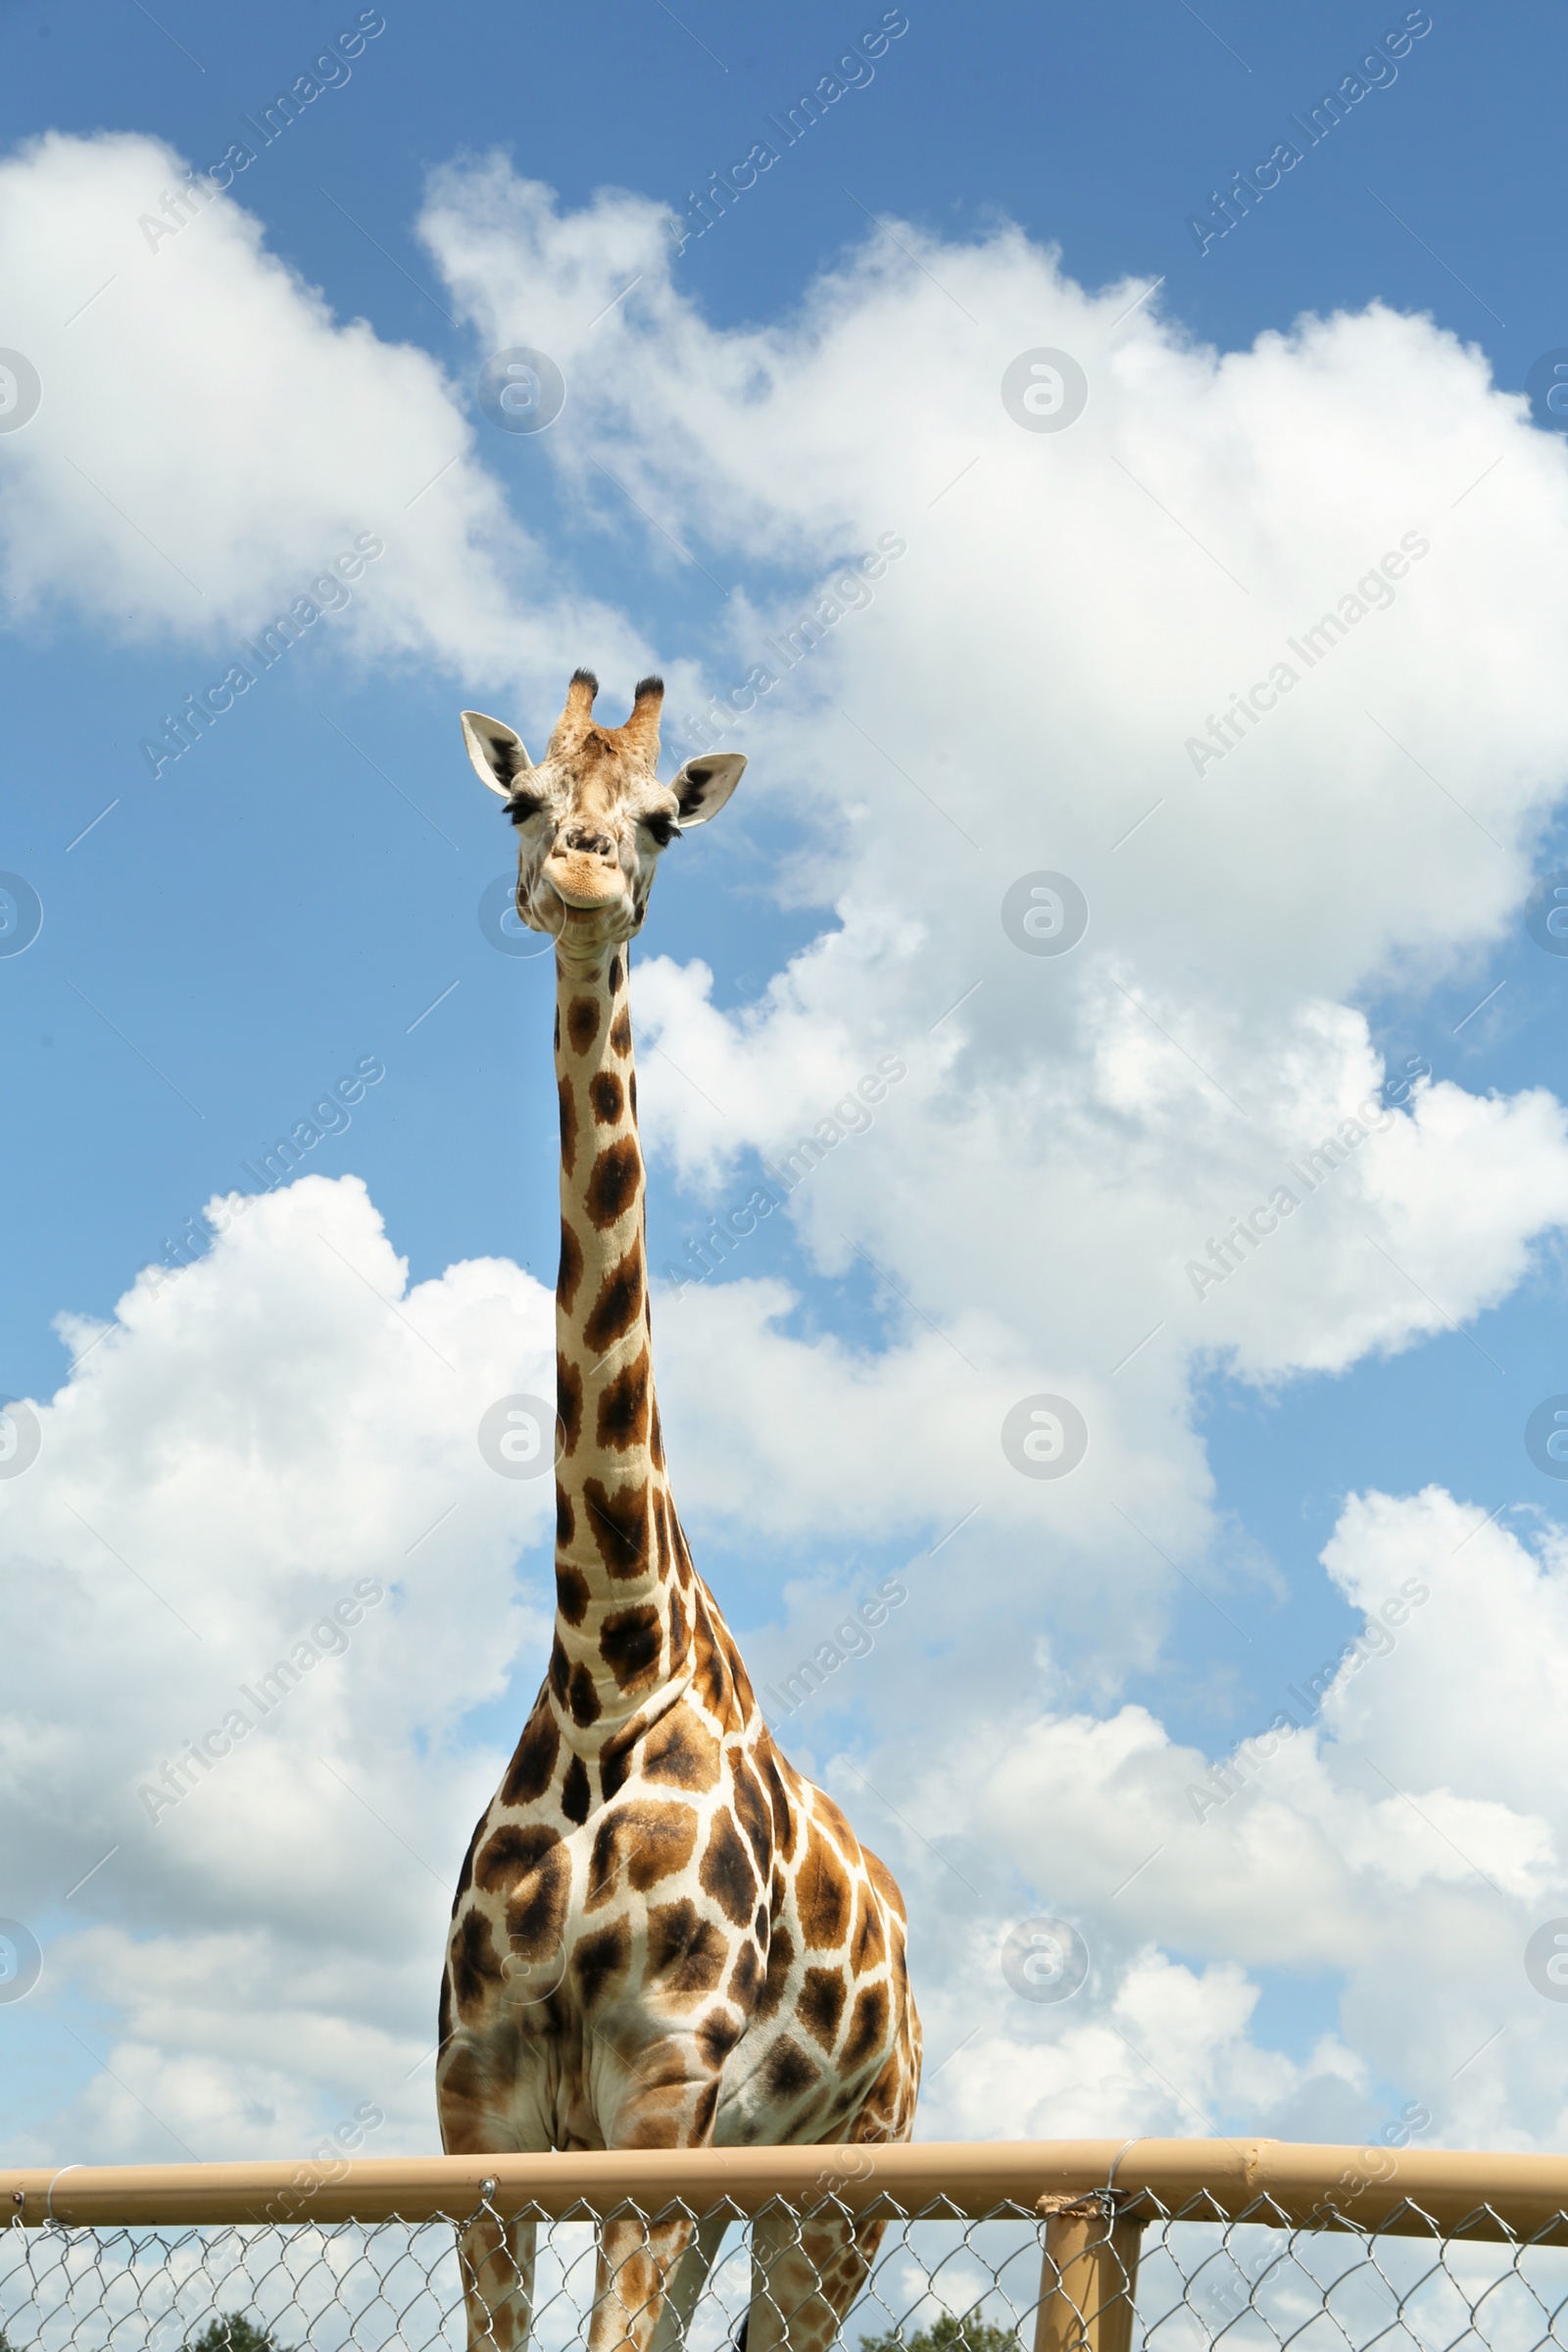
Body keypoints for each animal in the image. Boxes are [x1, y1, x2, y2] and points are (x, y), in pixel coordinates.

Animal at [434, 672, 926, 2352]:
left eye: (661, 821)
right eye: (523, 798)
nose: (587, 872)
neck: (611, 1669)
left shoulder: (661, 2098)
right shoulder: (479, 2106)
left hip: (837, 2195)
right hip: (737, 2191)